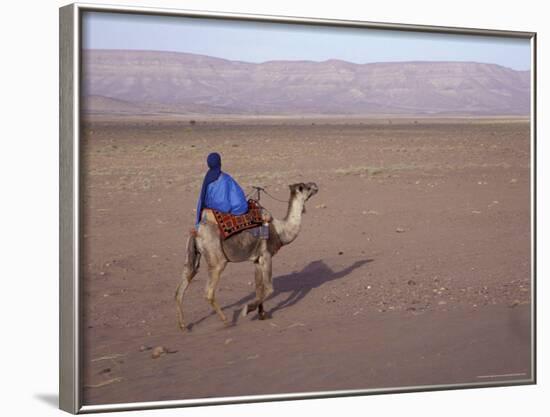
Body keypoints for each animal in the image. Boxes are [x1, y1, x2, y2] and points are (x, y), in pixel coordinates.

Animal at [177, 180, 322, 330]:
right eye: (305, 187)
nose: (315, 185)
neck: (280, 231)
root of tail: (197, 231)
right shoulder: (266, 255)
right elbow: (269, 288)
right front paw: (247, 310)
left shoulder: (257, 259)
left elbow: (259, 288)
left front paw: (262, 314)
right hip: (216, 258)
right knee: (208, 292)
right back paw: (226, 321)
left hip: (193, 254)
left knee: (183, 284)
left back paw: (183, 325)